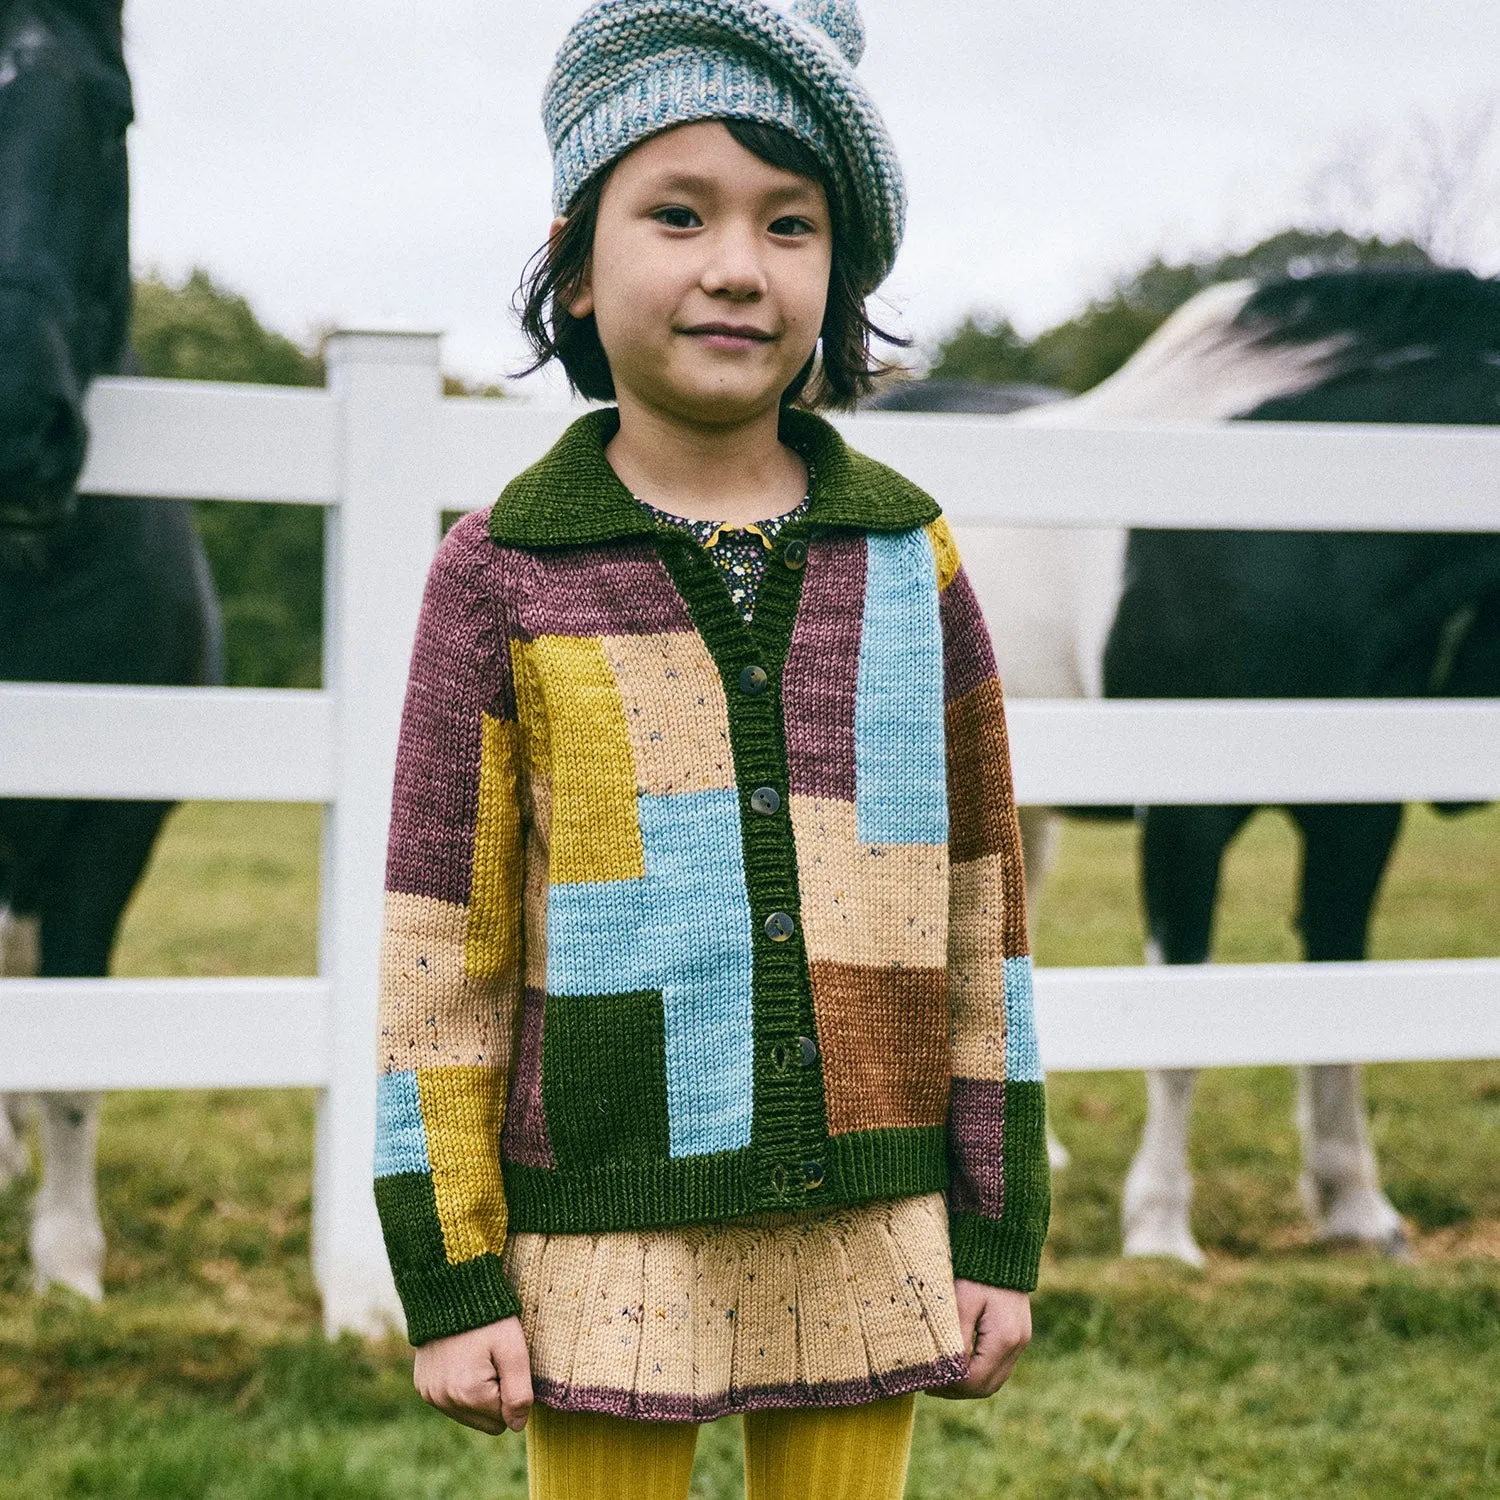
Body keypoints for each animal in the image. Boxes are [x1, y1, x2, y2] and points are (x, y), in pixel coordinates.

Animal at [870, 273, 1500, 1266]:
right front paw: (1160, 1227)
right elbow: (1180, 1026)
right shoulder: (1183, 818)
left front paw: (1356, 1209)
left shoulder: (1357, 820)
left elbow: (1339, 1002)